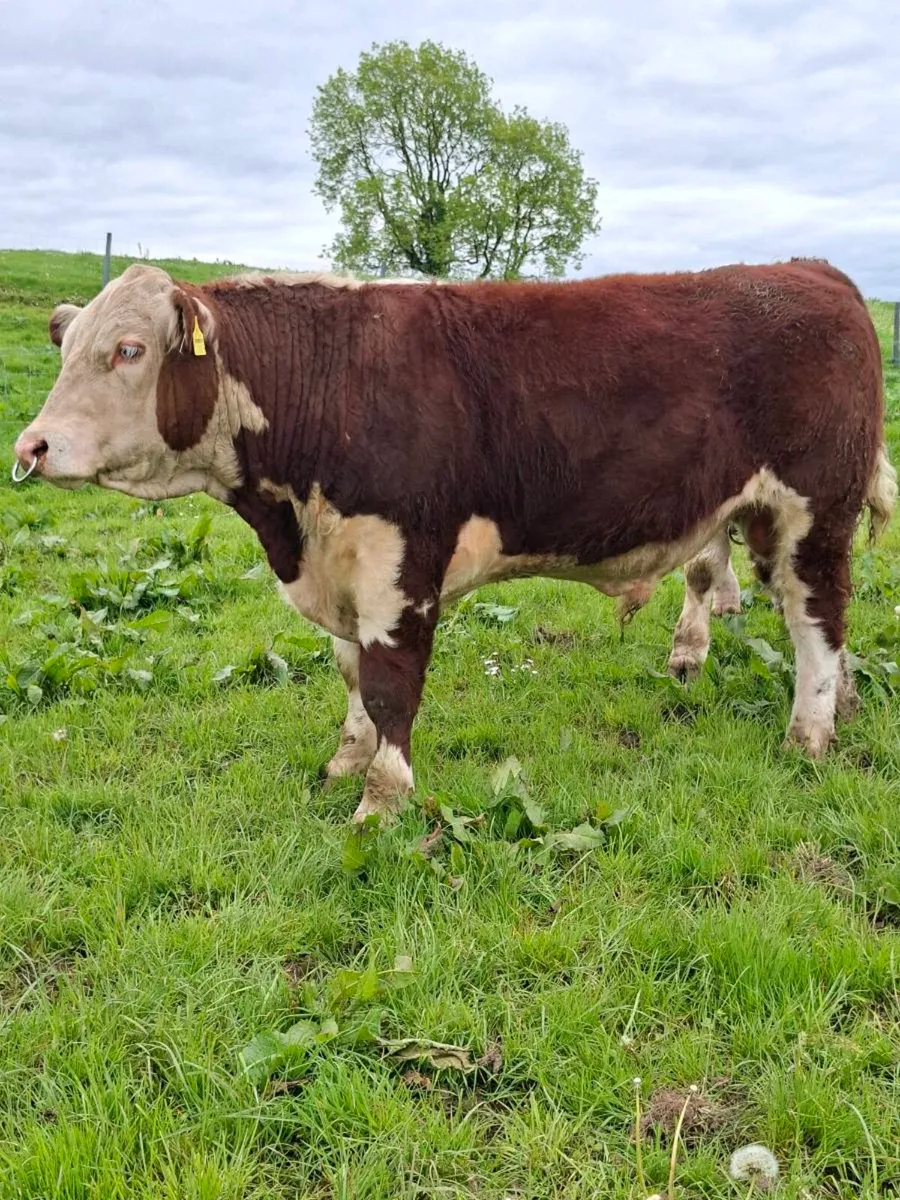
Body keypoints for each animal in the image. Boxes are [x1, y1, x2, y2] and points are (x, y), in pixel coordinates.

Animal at [13, 260, 897, 822]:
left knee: (817, 617)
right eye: (67, 349)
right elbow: (350, 674)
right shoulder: (341, 566)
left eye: (128, 350)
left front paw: (380, 802)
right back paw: (843, 703)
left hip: (814, 509)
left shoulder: (402, 562)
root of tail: (813, 271)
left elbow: (390, 685)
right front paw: (344, 763)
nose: (32, 446)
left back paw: (810, 734)